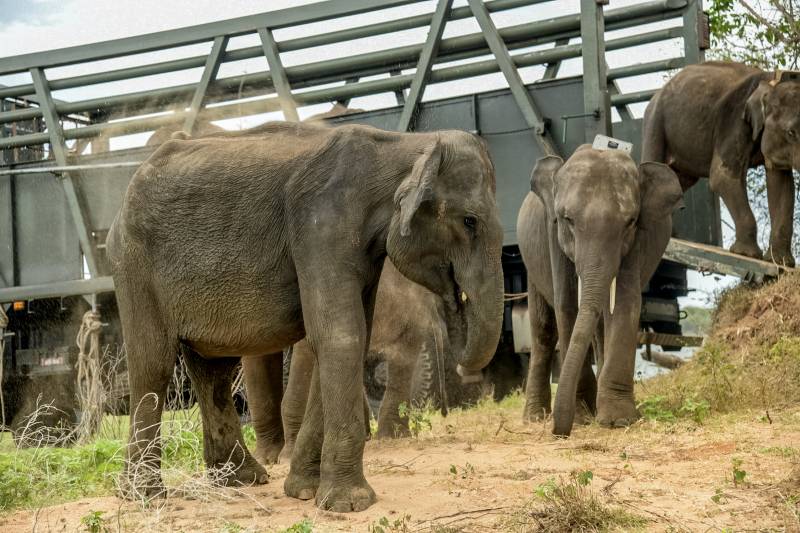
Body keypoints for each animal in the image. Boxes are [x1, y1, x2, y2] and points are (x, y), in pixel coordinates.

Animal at [106, 120, 505, 512]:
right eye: (469, 221)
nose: (464, 368)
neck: (402, 144)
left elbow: (350, 336)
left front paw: (303, 491)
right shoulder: (321, 227)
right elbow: (341, 335)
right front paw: (349, 504)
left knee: (213, 370)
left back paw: (241, 479)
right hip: (133, 264)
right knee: (153, 365)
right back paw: (144, 496)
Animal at [517, 145, 682, 437]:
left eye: (630, 222)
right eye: (567, 219)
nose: (560, 432)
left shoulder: (635, 241)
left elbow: (627, 303)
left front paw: (618, 420)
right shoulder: (552, 233)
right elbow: (566, 305)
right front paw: (582, 417)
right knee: (543, 329)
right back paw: (535, 418)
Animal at [642, 61, 800, 266]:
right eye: (791, 133)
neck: (770, 79)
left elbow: (782, 185)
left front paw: (781, 262)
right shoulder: (733, 122)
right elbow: (722, 177)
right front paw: (746, 254)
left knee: (679, 180)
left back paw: (675, 235)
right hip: (655, 121)